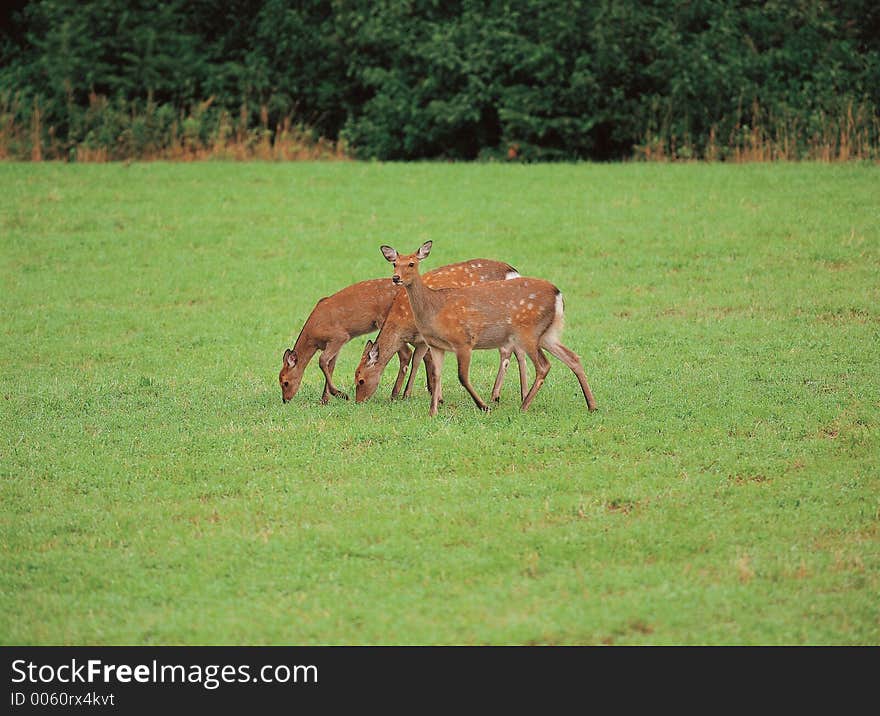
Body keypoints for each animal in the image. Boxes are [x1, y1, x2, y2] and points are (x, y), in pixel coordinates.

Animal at [278, 278, 412, 402]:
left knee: (406, 352)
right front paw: (325, 400)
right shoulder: (335, 344)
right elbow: (330, 366)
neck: (313, 337)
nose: (285, 400)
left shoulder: (339, 337)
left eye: (285, 382)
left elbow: (322, 361)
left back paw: (395, 395)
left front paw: (340, 394)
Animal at [352, 258, 528, 402]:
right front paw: (406, 394)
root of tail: (512, 273)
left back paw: (507, 395)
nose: (359, 401)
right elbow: (421, 360)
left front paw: (428, 396)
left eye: (361, 380)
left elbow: (422, 360)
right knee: (516, 351)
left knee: (510, 352)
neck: (402, 321)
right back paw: (511, 395)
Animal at [378, 243, 600, 416]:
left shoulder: (464, 341)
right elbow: (437, 374)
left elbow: (462, 376)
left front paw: (483, 407)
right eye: (394, 263)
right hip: (548, 334)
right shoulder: (437, 345)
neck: (433, 308)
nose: (396, 278)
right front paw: (433, 411)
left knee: (543, 365)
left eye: (412, 263)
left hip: (527, 332)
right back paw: (592, 405)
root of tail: (559, 295)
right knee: (573, 357)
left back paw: (523, 405)